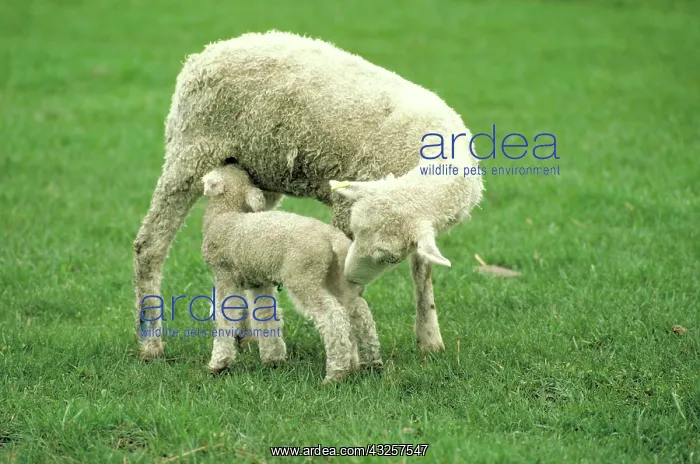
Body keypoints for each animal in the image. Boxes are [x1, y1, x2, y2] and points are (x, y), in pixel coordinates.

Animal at [200, 165, 383, 383]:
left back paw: (335, 373)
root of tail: (332, 237)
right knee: (359, 313)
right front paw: (273, 359)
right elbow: (265, 314)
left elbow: (224, 317)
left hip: (303, 276)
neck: (225, 213)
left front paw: (219, 364)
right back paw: (371, 363)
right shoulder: (259, 281)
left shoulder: (225, 276)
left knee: (333, 317)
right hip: (336, 277)